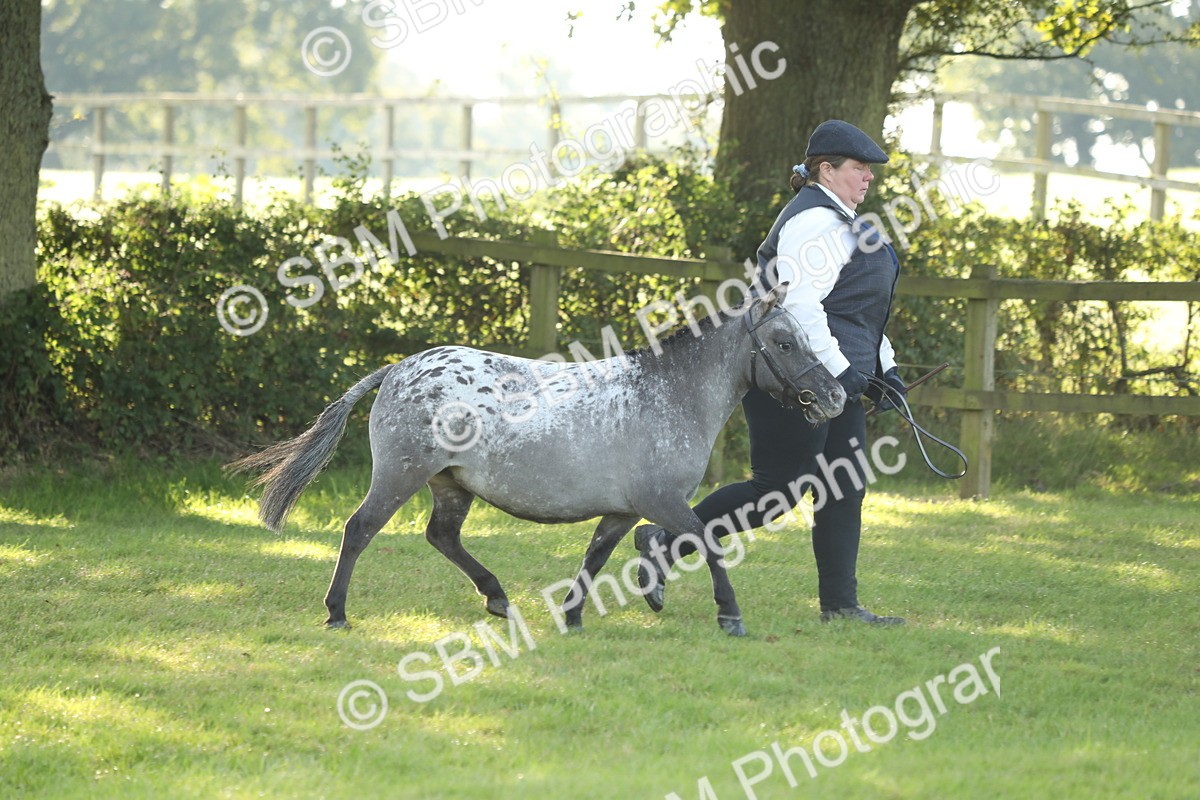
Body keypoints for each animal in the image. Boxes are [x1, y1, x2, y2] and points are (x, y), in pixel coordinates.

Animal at [228, 283, 845, 636]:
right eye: (785, 342)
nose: (836, 395)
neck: (668, 394)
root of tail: (398, 369)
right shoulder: (663, 501)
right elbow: (710, 543)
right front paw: (729, 616)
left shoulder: (624, 511)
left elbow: (598, 558)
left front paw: (573, 616)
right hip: (401, 475)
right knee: (359, 530)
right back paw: (336, 613)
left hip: (451, 484)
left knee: (442, 537)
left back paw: (498, 599)